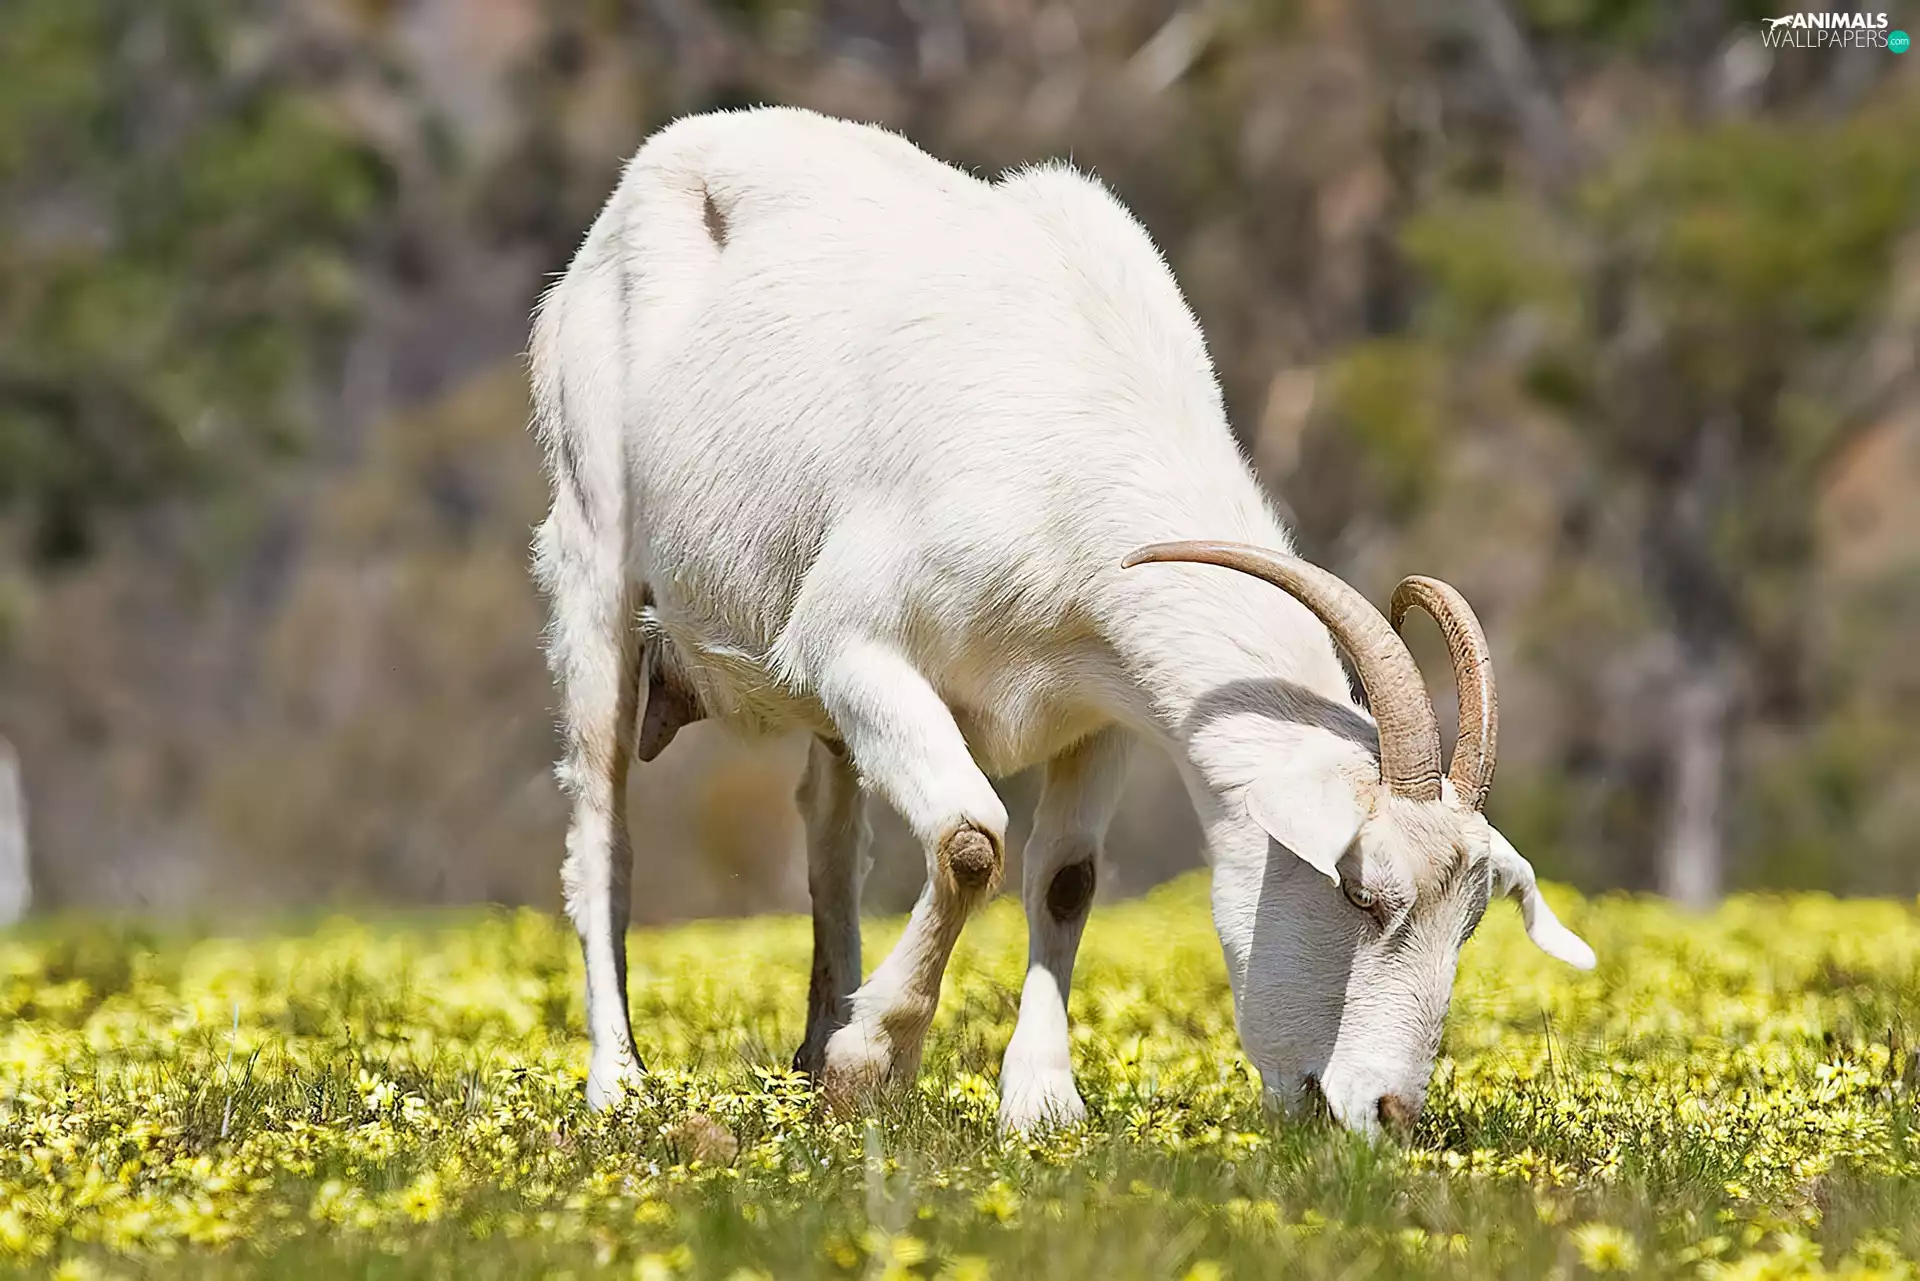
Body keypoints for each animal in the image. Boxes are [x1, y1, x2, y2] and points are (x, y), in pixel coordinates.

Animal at [529, 106, 1594, 1136]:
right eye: (1365, 895)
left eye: (1471, 921)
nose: (1387, 1112)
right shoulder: (852, 644)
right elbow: (970, 839)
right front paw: (872, 1065)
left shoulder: (1108, 706)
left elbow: (1065, 877)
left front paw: (1037, 1101)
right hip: (595, 557)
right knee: (602, 831)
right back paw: (619, 1080)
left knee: (831, 840)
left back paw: (810, 1044)